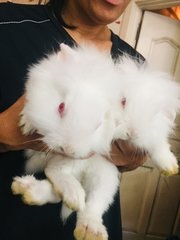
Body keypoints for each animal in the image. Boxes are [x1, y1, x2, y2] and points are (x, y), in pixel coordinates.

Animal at [11, 43, 179, 240]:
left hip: (105, 178)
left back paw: (87, 226)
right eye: (123, 101)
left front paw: (169, 167)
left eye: (153, 115)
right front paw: (26, 123)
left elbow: (158, 145)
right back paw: (36, 190)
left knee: (89, 203)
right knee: (55, 172)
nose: (133, 132)